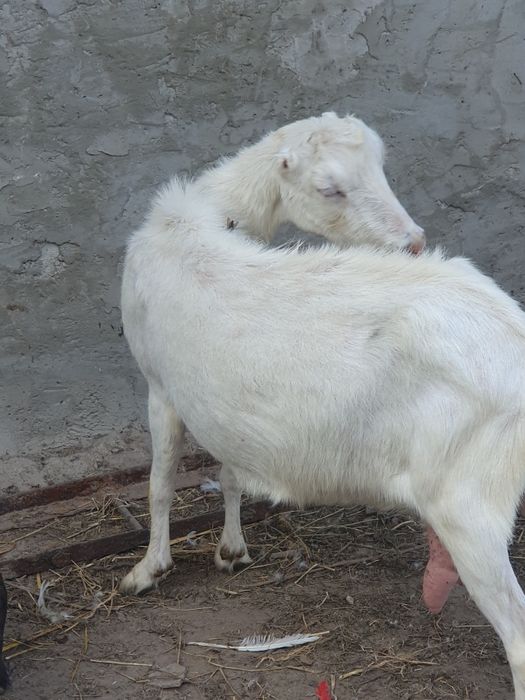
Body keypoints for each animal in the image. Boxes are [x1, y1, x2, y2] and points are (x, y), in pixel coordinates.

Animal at [120, 176, 525, 698]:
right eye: (332, 189)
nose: (413, 240)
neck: (193, 226)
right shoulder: (224, 412)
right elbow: (229, 474)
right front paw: (232, 551)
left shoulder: (159, 389)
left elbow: (159, 486)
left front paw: (146, 571)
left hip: (469, 505)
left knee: (517, 635)